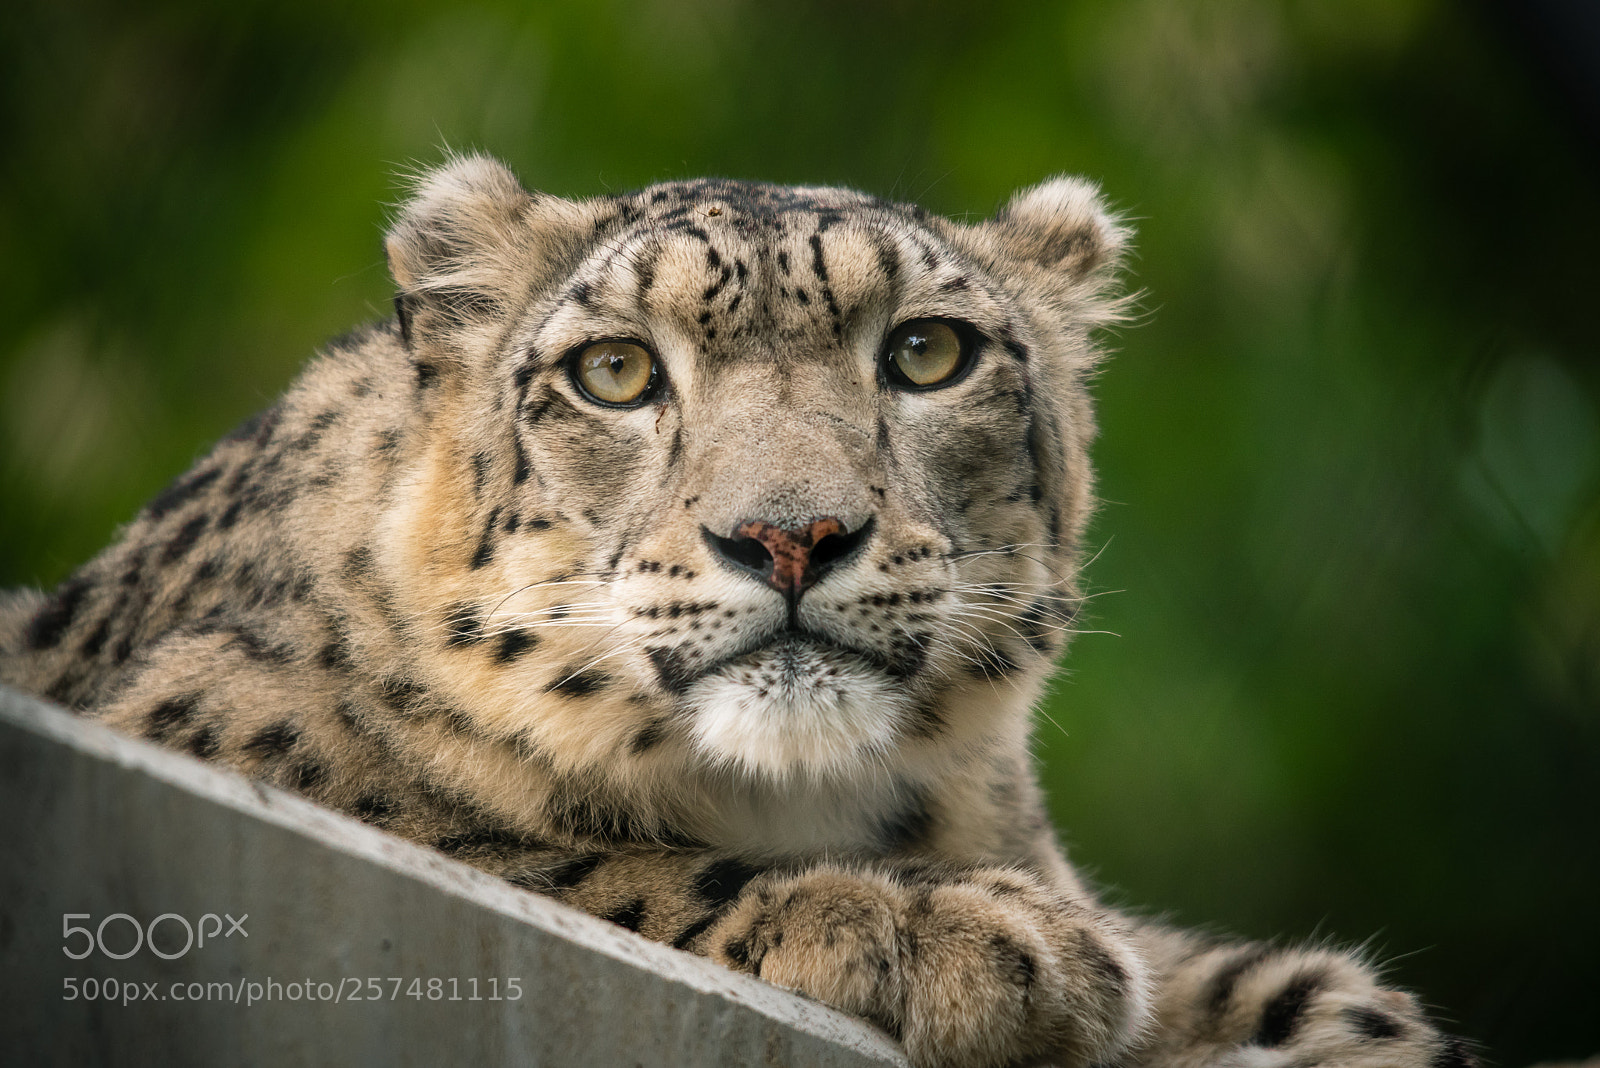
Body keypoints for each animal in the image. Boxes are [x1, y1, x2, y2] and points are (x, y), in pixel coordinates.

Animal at [0, 154, 1476, 1068]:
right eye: (613, 370)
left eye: (928, 351)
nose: (790, 536)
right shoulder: (215, 729)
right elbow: (544, 851)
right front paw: (972, 935)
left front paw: (1358, 1027)